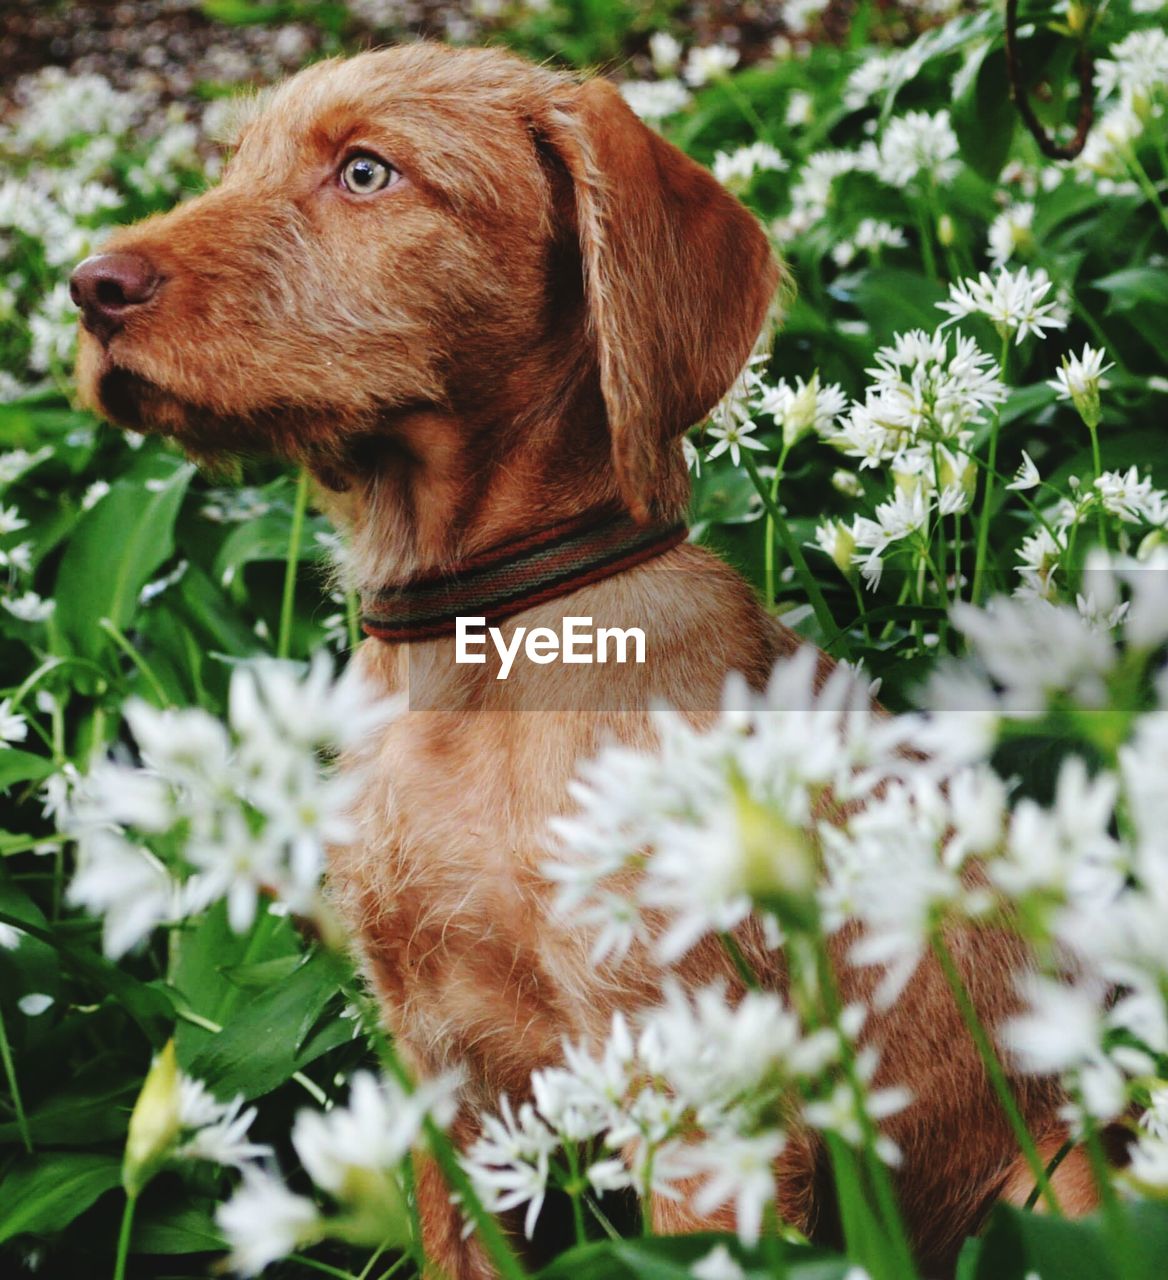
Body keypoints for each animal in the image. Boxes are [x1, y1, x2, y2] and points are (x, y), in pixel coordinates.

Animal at [70, 40, 1096, 1280]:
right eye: (234, 165)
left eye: (366, 171)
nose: (87, 287)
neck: (478, 641)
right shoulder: (441, 1076)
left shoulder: (692, 1095)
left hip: (1067, 1178)